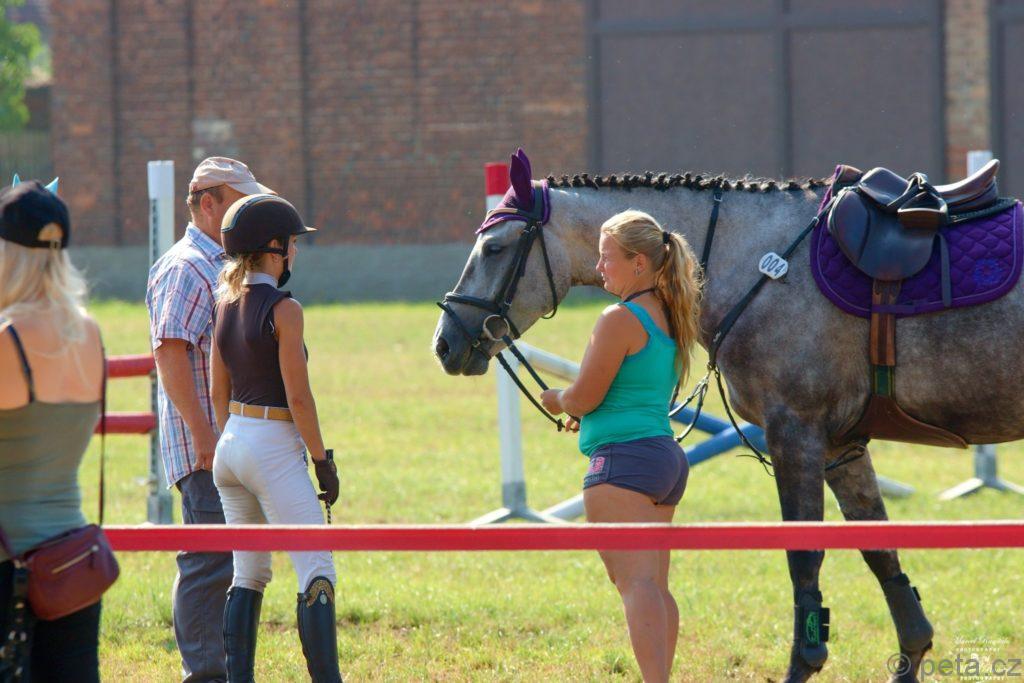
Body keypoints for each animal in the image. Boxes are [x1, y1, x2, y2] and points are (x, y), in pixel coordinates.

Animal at [433, 149, 1024, 681]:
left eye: (494, 247)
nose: (445, 343)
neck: (765, 263)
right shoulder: (841, 446)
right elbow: (881, 554)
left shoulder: (795, 434)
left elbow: (805, 558)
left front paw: (805, 662)